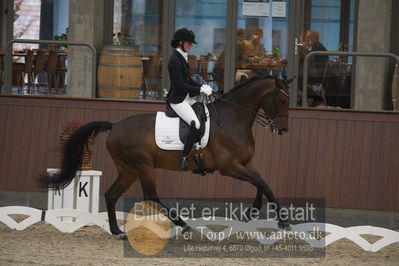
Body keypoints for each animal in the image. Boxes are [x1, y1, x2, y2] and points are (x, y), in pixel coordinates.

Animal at [39, 75, 296, 237]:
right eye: (283, 100)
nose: (283, 130)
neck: (232, 119)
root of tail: (114, 126)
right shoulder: (229, 166)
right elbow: (262, 182)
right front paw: (283, 220)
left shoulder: (245, 162)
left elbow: (261, 183)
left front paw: (253, 211)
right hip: (143, 167)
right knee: (152, 196)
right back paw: (184, 225)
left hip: (128, 169)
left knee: (111, 195)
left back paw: (117, 231)